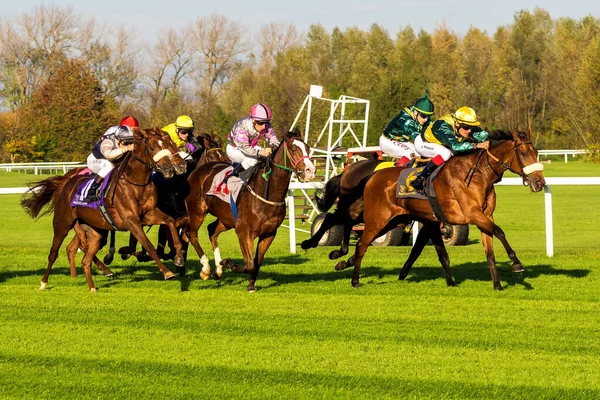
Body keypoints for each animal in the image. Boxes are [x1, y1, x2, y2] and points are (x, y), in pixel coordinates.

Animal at [21, 127, 186, 290]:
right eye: (151, 148)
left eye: (171, 144)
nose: (170, 169)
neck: (136, 183)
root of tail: (66, 184)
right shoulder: (131, 220)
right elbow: (148, 245)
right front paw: (167, 272)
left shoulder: (148, 215)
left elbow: (170, 221)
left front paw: (178, 257)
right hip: (62, 223)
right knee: (54, 253)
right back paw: (44, 282)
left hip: (94, 230)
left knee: (84, 257)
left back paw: (92, 285)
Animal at [185, 131, 318, 290]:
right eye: (293, 148)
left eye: (307, 148)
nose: (310, 171)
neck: (266, 191)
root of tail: (197, 170)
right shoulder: (244, 231)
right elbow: (249, 265)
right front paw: (228, 263)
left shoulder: (269, 234)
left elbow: (257, 263)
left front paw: (250, 286)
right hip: (197, 212)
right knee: (191, 234)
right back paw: (206, 269)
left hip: (226, 220)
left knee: (211, 230)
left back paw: (218, 270)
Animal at [336, 130, 548, 290]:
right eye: (523, 153)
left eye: (536, 152)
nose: (539, 183)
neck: (479, 174)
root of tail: (373, 176)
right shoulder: (473, 214)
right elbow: (500, 231)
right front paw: (516, 263)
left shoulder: (484, 216)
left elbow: (489, 251)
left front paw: (497, 284)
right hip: (377, 219)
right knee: (362, 244)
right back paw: (354, 280)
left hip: (393, 220)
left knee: (361, 242)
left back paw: (343, 262)